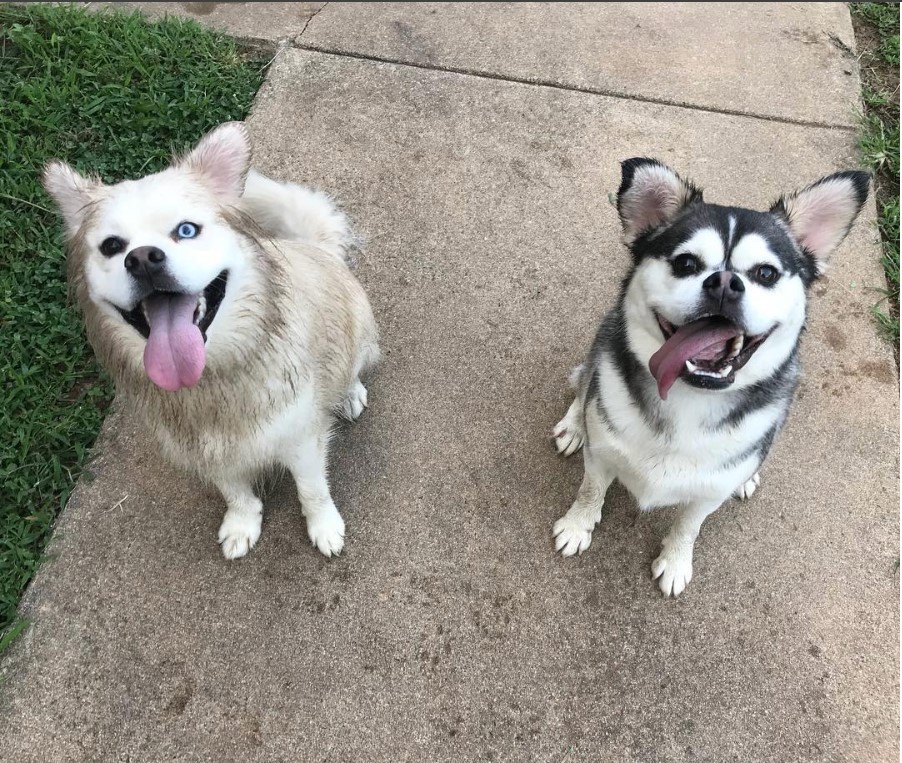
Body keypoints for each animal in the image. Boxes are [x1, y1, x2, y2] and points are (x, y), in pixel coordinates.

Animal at [556, 160, 872, 596]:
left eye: (766, 273)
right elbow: (589, 490)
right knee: (585, 382)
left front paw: (675, 562)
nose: (724, 282)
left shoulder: (708, 493)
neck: (690, 398)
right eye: (686, 263)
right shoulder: (602, 454)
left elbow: (689, 525)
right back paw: (573, 425)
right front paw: (577, 526)